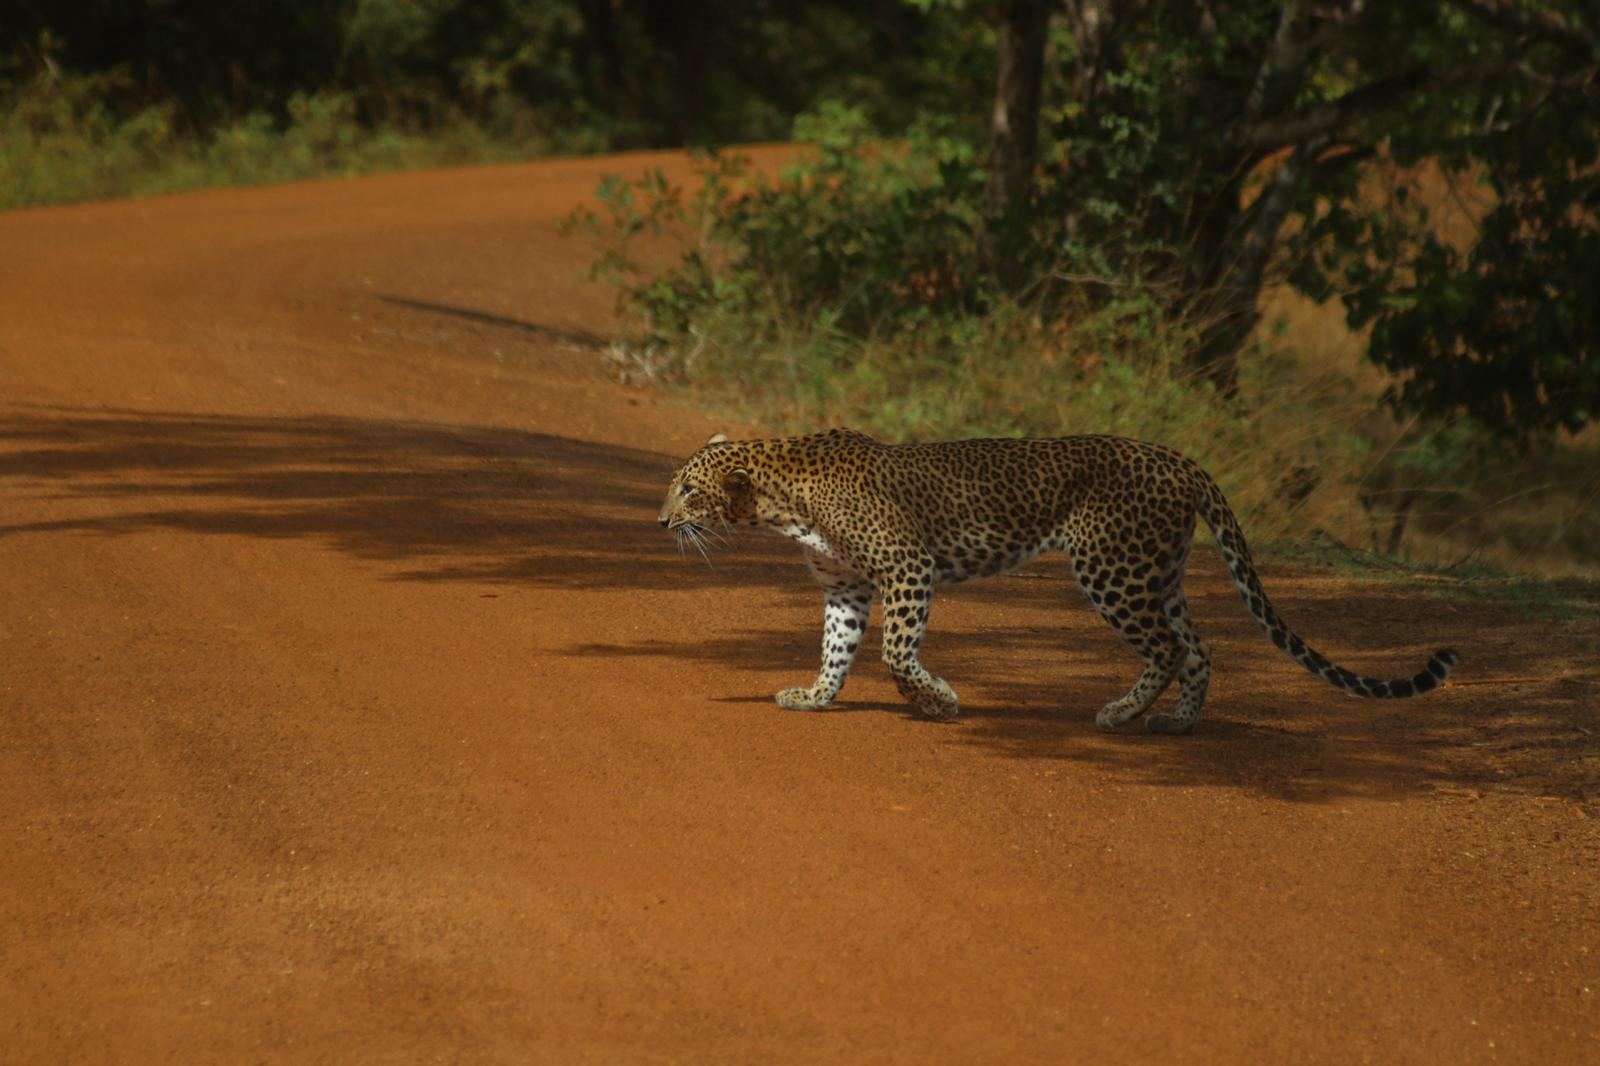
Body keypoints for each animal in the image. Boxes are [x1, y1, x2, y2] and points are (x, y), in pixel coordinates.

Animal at [657, 428, 1458, 734]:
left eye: (688, 492)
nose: (662, 521)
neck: (777, 501)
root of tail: (1178, 458)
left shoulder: (907, 566)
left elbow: (894, 652)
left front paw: (939, 702)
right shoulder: (847, 587)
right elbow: (839, 647)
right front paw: (816, 697)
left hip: (1110, 568)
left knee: (1170, 648)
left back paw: (1120, 713)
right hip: (1157, 570)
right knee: (1200, 648)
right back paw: (1174, 722)